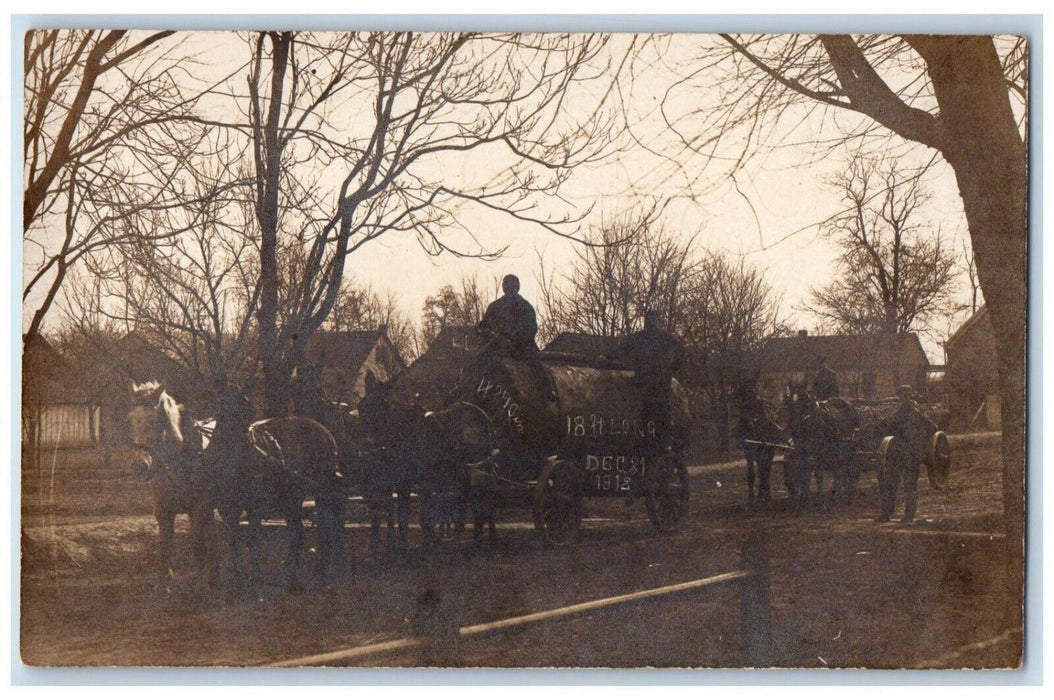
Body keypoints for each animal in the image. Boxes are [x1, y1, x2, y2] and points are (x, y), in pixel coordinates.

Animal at [127, 379, 218, 586]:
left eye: (153, 420)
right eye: (130, 420)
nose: (139, 466)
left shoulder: (198, 509)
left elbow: (197, 544)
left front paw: (200, 583)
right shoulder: (162, 510)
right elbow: (165, 545)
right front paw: (164, 583)